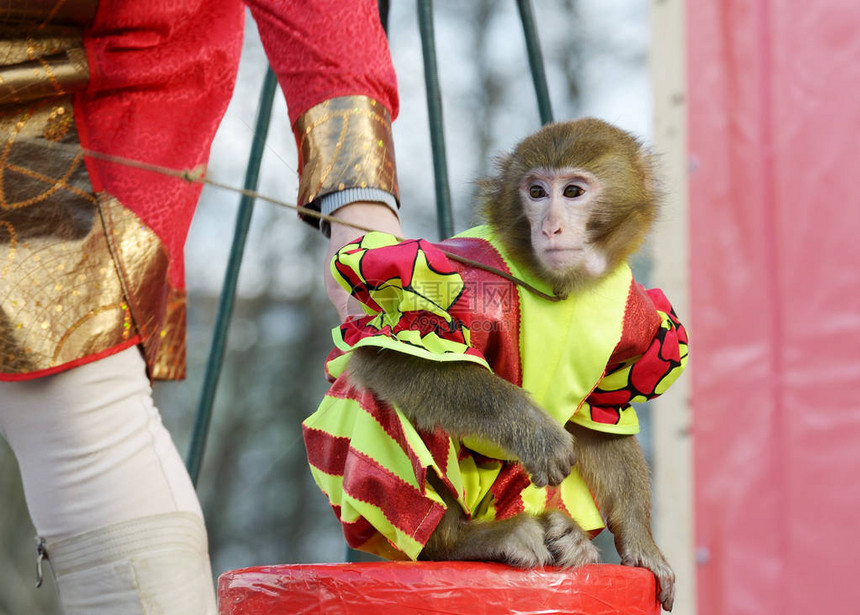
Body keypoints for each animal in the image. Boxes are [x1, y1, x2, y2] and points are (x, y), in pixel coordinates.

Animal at [302, 119, 684, 612]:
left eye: (573, 191)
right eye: (536, 192)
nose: (552, 227)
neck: (560, 287)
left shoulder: (638, 320)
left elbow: (602, 420)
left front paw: (642, 543)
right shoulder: (468, 275)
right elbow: (393, 351)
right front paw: (537, 433)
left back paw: (568, 536)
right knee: (385, 403)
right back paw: (465, 540)